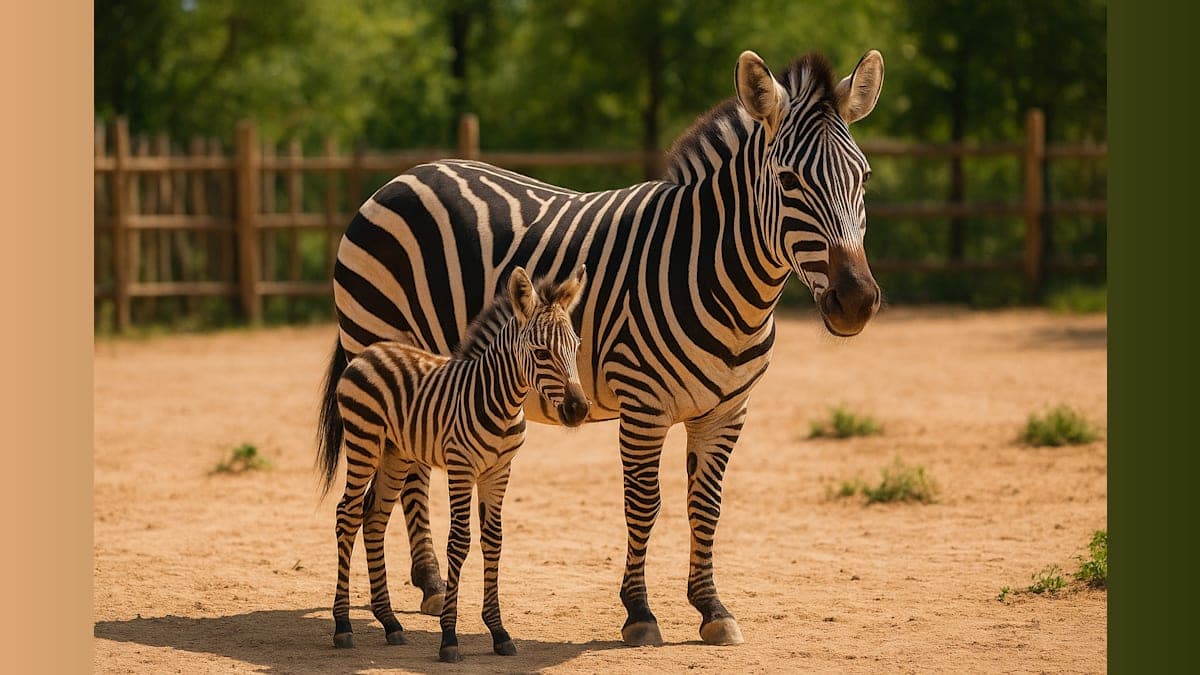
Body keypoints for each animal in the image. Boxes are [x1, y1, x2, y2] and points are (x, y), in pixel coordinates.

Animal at [321, 265, 589, 662]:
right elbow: (459, 542)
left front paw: (498, 632)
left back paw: (390, 623)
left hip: (395, 455)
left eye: (576, 347)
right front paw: (449, 636)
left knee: (374, 520)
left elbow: (494, 540)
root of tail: (371, 350)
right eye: (541, 352)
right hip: (363, 442)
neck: (500, 400)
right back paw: (342, 626)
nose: (579, 409)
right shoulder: (461, 468)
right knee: (348, 515)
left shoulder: (499, 472)